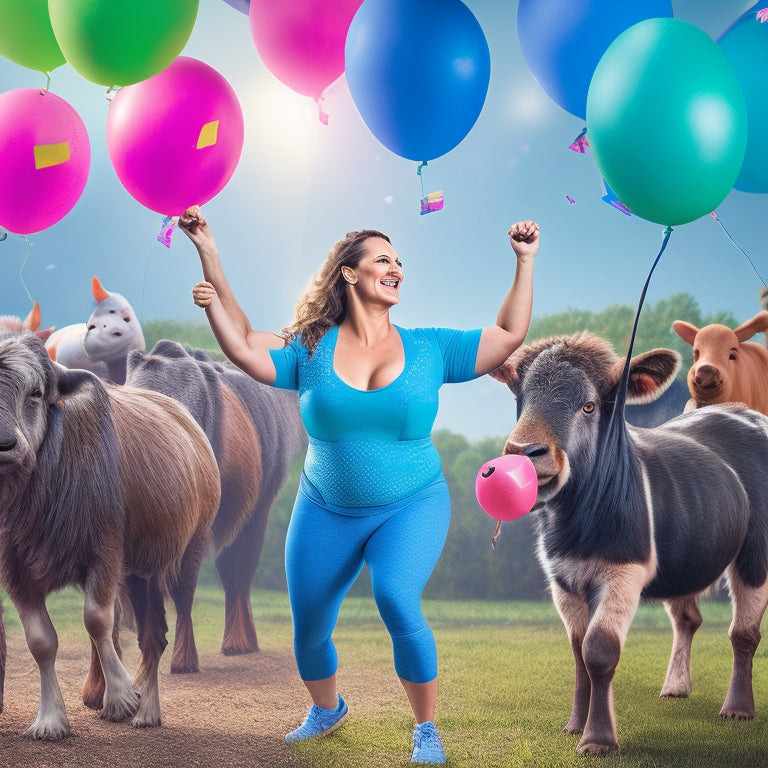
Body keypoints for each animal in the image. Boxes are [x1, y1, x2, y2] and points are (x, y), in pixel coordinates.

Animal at [0, 332, 222, 736]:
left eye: (35, 392)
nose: (5, 446)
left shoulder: (103, 551)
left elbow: (96, 619)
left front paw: (122, 696)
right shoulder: (14, 571)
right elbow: (41, 641)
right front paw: (50, 720)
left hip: (178, 558)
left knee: (156, 634)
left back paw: (146, 710)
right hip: (134, 573)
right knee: (149, 634)